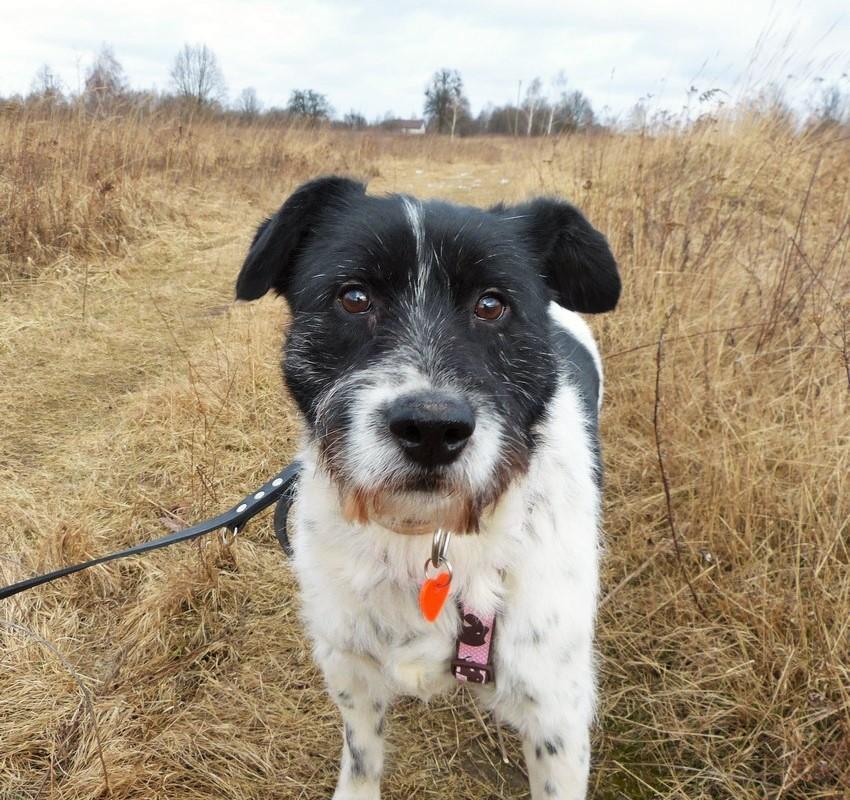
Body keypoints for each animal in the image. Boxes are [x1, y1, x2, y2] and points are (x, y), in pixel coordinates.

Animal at [235, 176, 620, 800]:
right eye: (354, 297)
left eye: (492, 304)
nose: (433, 431)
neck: (426, 539)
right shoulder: (351, 670)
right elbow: (361, 758)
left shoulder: (556, 715)